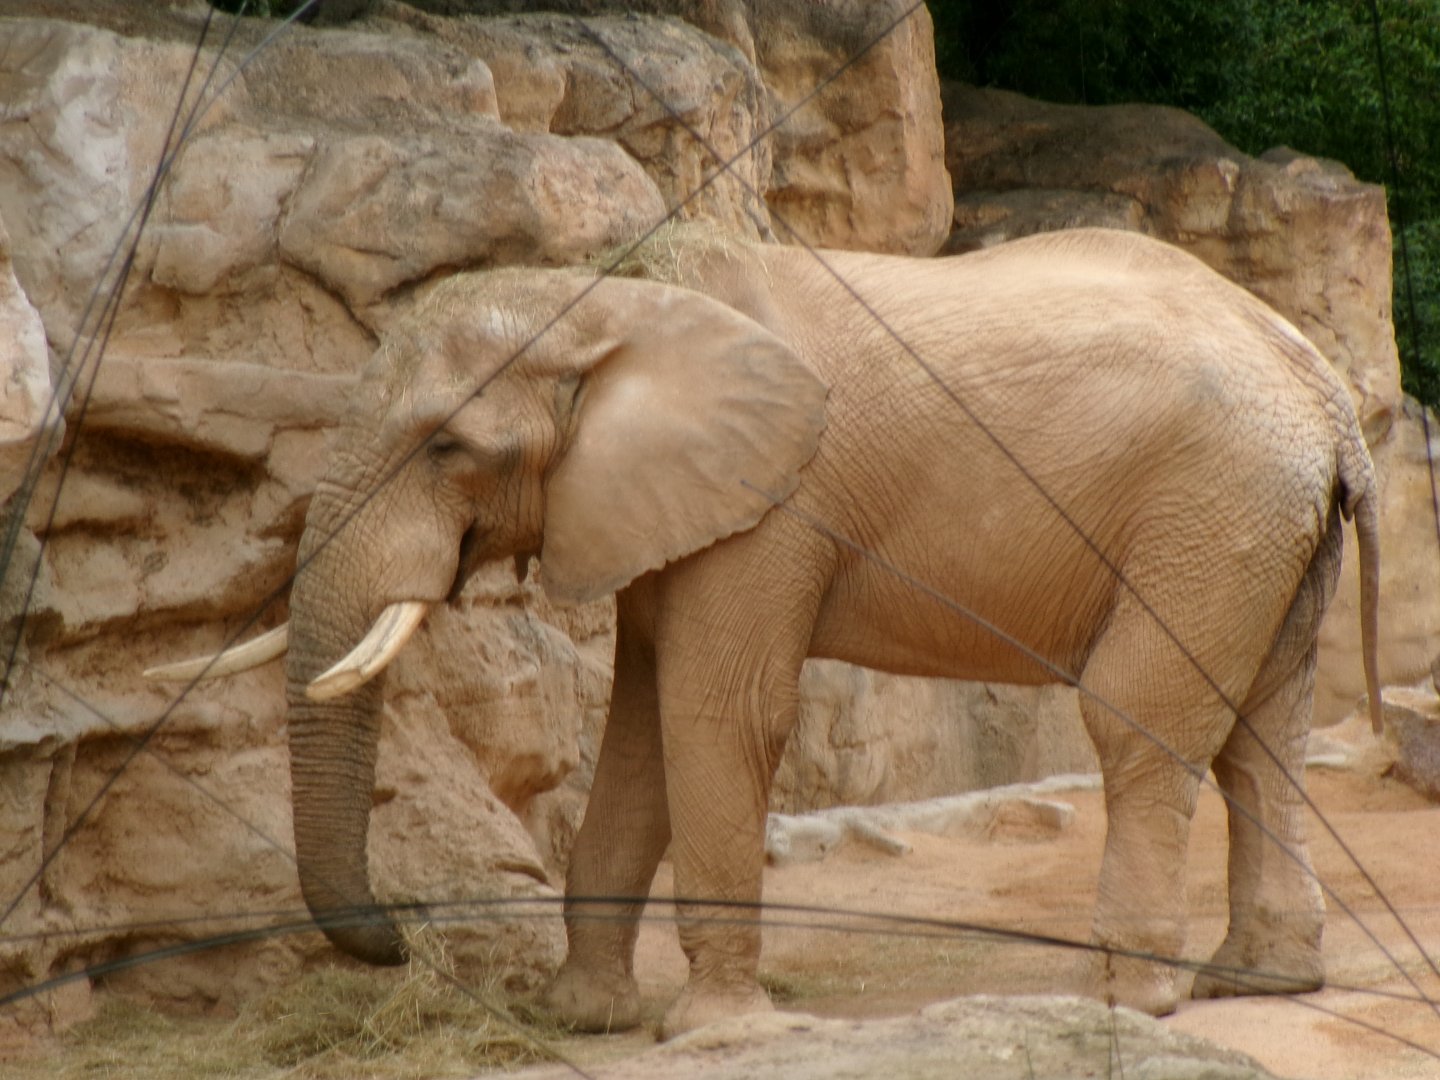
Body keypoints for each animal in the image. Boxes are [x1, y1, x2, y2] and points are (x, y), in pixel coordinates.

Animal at [153, 225, 1381, 1039]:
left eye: (446, 448)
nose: (404, 936)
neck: (618, 300)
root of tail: (1328, 391)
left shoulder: (777, 501)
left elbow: (718, 712)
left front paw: (710, 1034)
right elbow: (638, 729)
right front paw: (581, 1018)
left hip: (1210, 504)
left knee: (1141, 719)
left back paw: (1134, 1000)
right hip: (1262, 522)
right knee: (1262, 735)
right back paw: (1252, 985)